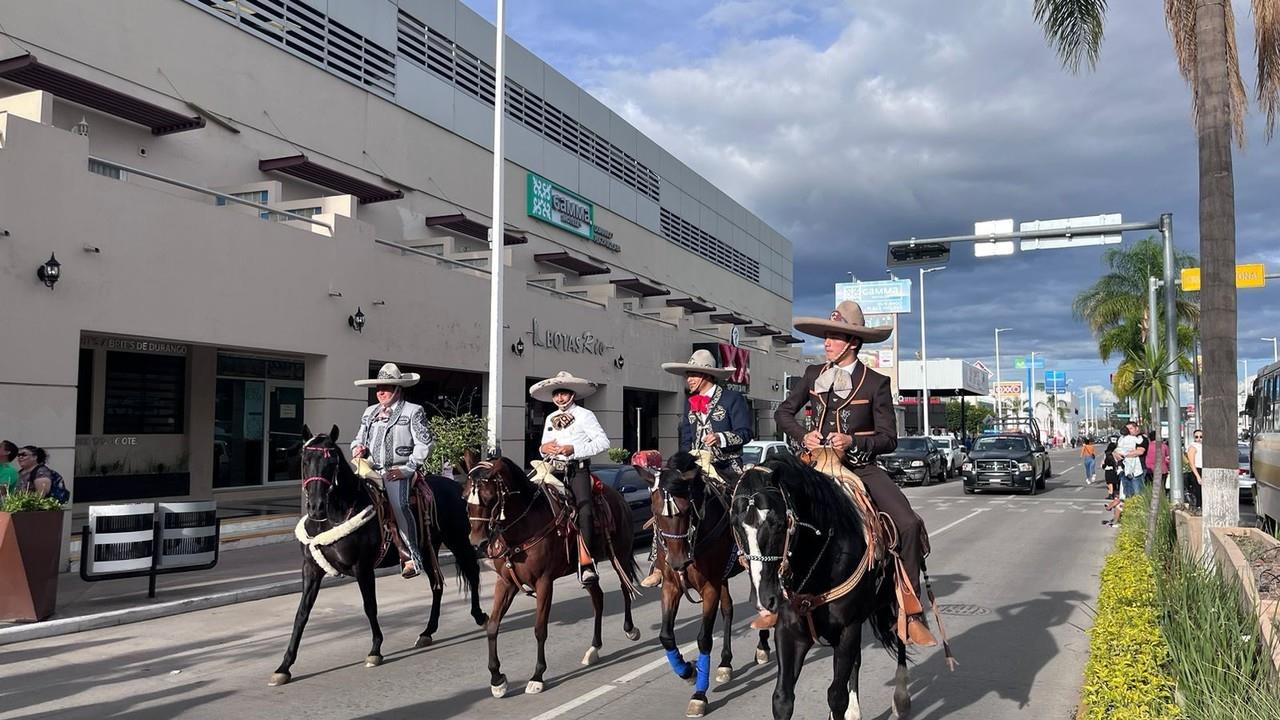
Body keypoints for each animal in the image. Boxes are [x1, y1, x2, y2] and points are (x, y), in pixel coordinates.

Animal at [267, 422, 486, 686]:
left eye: (332, 461)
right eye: (305, 459)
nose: (316, 507)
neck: (335, 515)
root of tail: (457, 485)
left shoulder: (363, 567)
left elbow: (369, 606)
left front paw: (375, 651)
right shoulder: (311, 569)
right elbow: (302, 614)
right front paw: (284, 666)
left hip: (458, 541)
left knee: (472, 573)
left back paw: (480, 616)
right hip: (427, 549)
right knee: (437, 585)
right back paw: (427, 632)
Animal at [460, 453, 640, 696]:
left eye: (490, 497)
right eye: (464, 496)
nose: (477, 544)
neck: (523, 527)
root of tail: (618, 497)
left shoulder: (544, 582)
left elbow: (540, 629)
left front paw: (537, 676)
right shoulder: (505, 582)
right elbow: (493, 625)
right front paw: (497, 679)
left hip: (619, 555)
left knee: (625, 588)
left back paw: (630, 629)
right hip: (589, 568)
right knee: (598, 598)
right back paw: (594, 648)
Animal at [650, 450, 768, 712]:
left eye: (687, 510)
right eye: (655, 511)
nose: (678, 561)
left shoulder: (709, 587)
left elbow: (703, 639)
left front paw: (699, 694)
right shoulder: (671, 586)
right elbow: (666, 636)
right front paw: (688, 671)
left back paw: (763, 647)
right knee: (729, 609)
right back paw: (725, 663)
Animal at [732, 453, 911, 717]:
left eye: (778, 524)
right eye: (735, 525)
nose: (764, 599)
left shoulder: (848, 628)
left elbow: (836, 696)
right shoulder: (790, 630)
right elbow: (782, 699)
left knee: (901, 636)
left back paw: (901, 698)